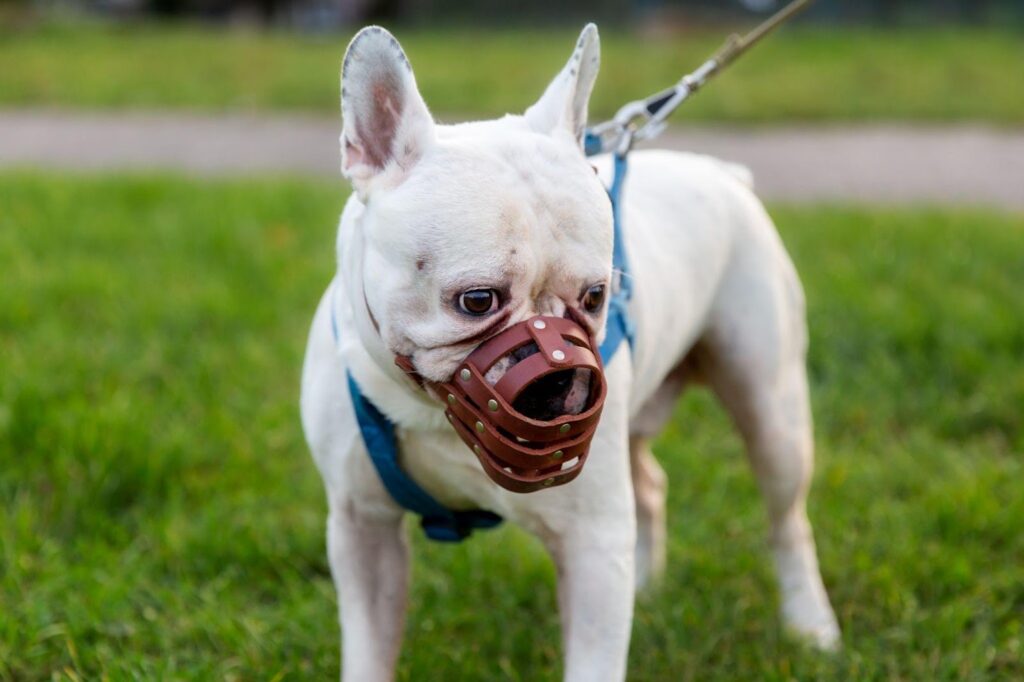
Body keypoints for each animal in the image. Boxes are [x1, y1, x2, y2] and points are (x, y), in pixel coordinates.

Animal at [299, 21, 839, 679]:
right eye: (476, 300)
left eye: (596, 294)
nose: (560, 379)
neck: (430, 414)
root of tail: (721, 172)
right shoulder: (362, 529)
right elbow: (368, 652)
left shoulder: (592, 546)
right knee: (650, 484)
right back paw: (648, 589)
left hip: (771, 410)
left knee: (788, 519)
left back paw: (811, 625)